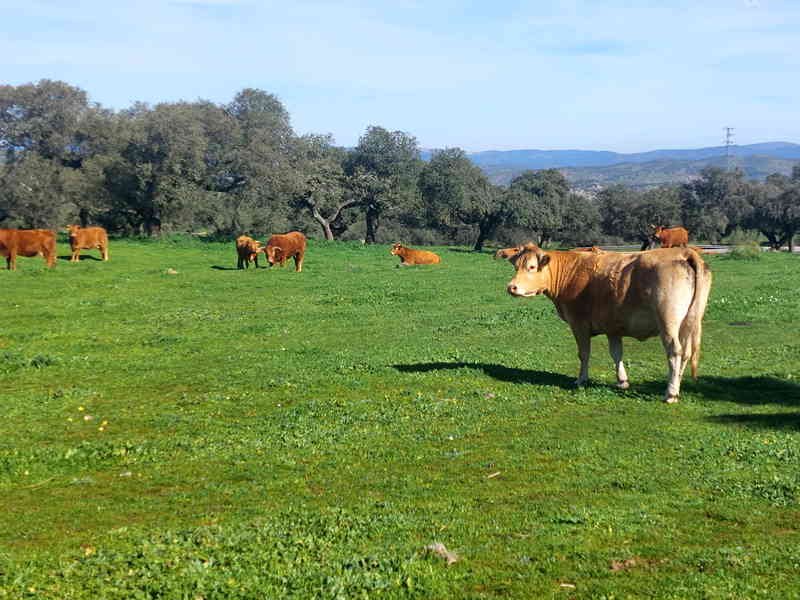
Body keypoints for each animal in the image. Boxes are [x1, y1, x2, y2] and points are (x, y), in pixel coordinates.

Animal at [506, 243, 712, 404]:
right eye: (516, 266)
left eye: (532, 267)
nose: (511, 287)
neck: (572, 273)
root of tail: (684, 252)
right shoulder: (613, 327)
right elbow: (616, 353)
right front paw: (622, 381)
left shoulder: (578, 324)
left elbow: (584, 354)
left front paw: (581, 380)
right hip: (689, 321)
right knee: (686, 352)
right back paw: (677, 385)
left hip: (668, 321)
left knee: (675, 351)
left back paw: (670, 393)